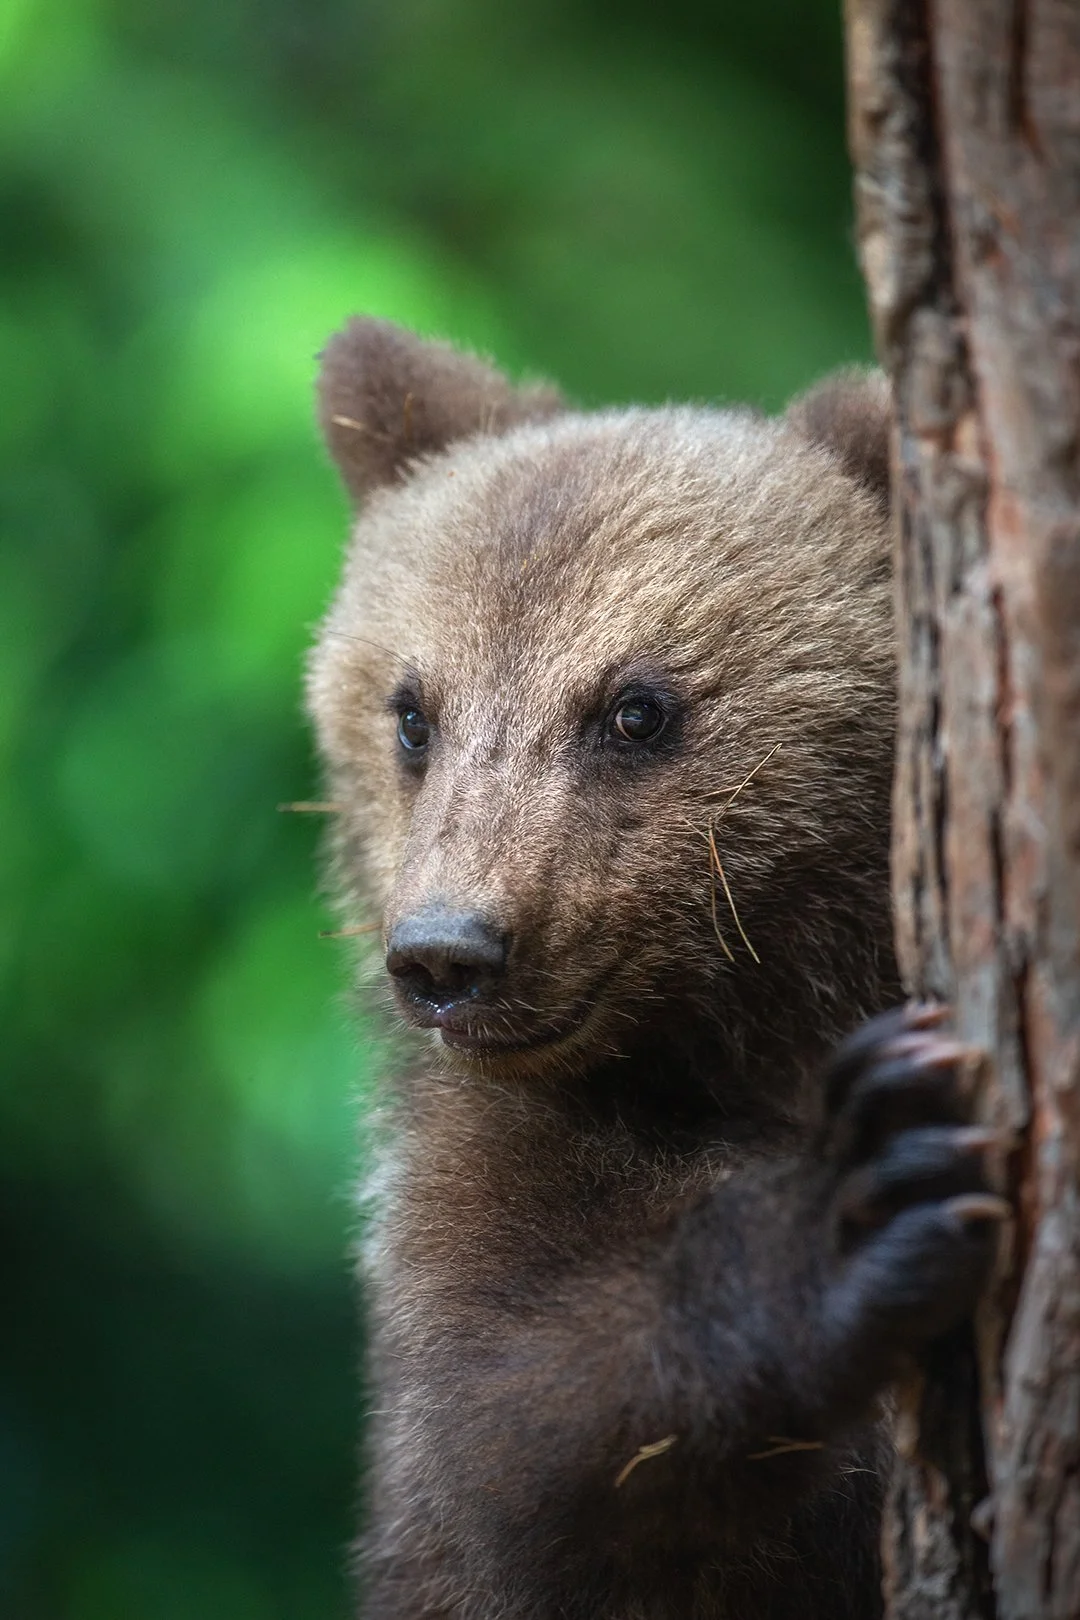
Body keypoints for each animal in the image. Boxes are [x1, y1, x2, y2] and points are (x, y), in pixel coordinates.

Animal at [306, 318, 1005, 1620]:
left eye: (636, 708)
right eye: (413, 712)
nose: (447, 953)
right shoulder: (480, 1173)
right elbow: (514, 1432)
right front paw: (862, 1192)